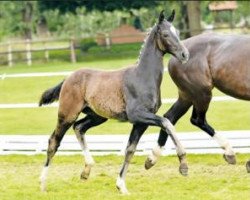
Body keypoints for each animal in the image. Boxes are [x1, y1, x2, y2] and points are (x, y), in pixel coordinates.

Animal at [38, 10, 188, 194]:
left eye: (178, 32)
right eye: (166, 34)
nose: (185, 54)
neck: (142, 77)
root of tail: (68, 78)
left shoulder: (141, 122)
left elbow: (130, 149)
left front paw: (122, 185)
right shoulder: (137, 115)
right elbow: (167, 122)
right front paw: (182, 165)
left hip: (97, 116)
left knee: (79, 128)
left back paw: (86, 170)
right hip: (67, 115)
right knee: (54, 141)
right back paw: (43, 183)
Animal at [145, 32, 250, 169]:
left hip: (188, 96)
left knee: (169, 117)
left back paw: (153, 158)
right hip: (202, 93)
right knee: (197, 120)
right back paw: (229, 152)